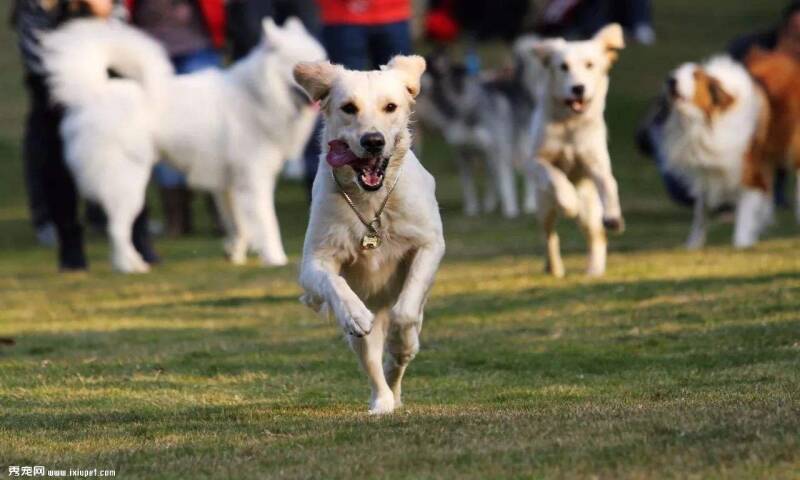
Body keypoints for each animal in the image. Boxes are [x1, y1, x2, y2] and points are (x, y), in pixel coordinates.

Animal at [42, 16, 324, 272]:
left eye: (321, 61)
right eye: (299, 66)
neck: (257, 95)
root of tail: (93, 94)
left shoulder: (229, 187)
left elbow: (238, 226)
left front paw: (235, 253)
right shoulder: (254, 181)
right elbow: (267, 223)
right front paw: (275, 259)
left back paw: (136, 262)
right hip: (128, 182)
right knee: (116, 229)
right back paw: (129, 267)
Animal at [294, 56, 446, 414]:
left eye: (390, 106)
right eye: (349, 108)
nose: (373, 140)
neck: (371, 202)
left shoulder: (430, 244)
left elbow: (404, 314)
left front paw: (400, 343)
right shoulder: (313, 262)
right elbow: (334, 283)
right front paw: (355, 313)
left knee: (400, 350)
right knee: (372, 361)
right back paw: (382, 401)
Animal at [664, 56, 768, 249]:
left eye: (696, 76)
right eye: (676, 71)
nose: (671, 79)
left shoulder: (750, 173)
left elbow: (746, 212)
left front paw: (742, 243)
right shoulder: (706, 174)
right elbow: (700, 214)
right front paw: (693, 245)